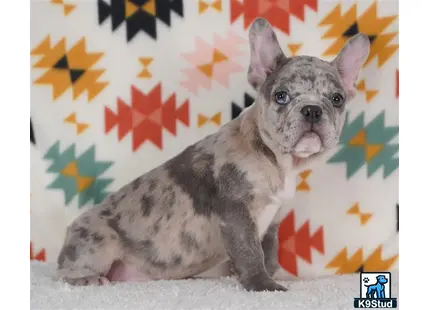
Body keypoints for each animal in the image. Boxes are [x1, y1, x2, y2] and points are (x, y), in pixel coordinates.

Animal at [56, 18, 370, 292]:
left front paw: (274, 275)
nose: (312, 110)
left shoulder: (272, 222)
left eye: (337, 99)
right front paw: (263, 286)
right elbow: (250, 252)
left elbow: (268, 252)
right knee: (65, 272)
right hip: (99, 241)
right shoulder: (237, 212)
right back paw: (86, 278)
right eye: (281, 96)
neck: (274, 158)